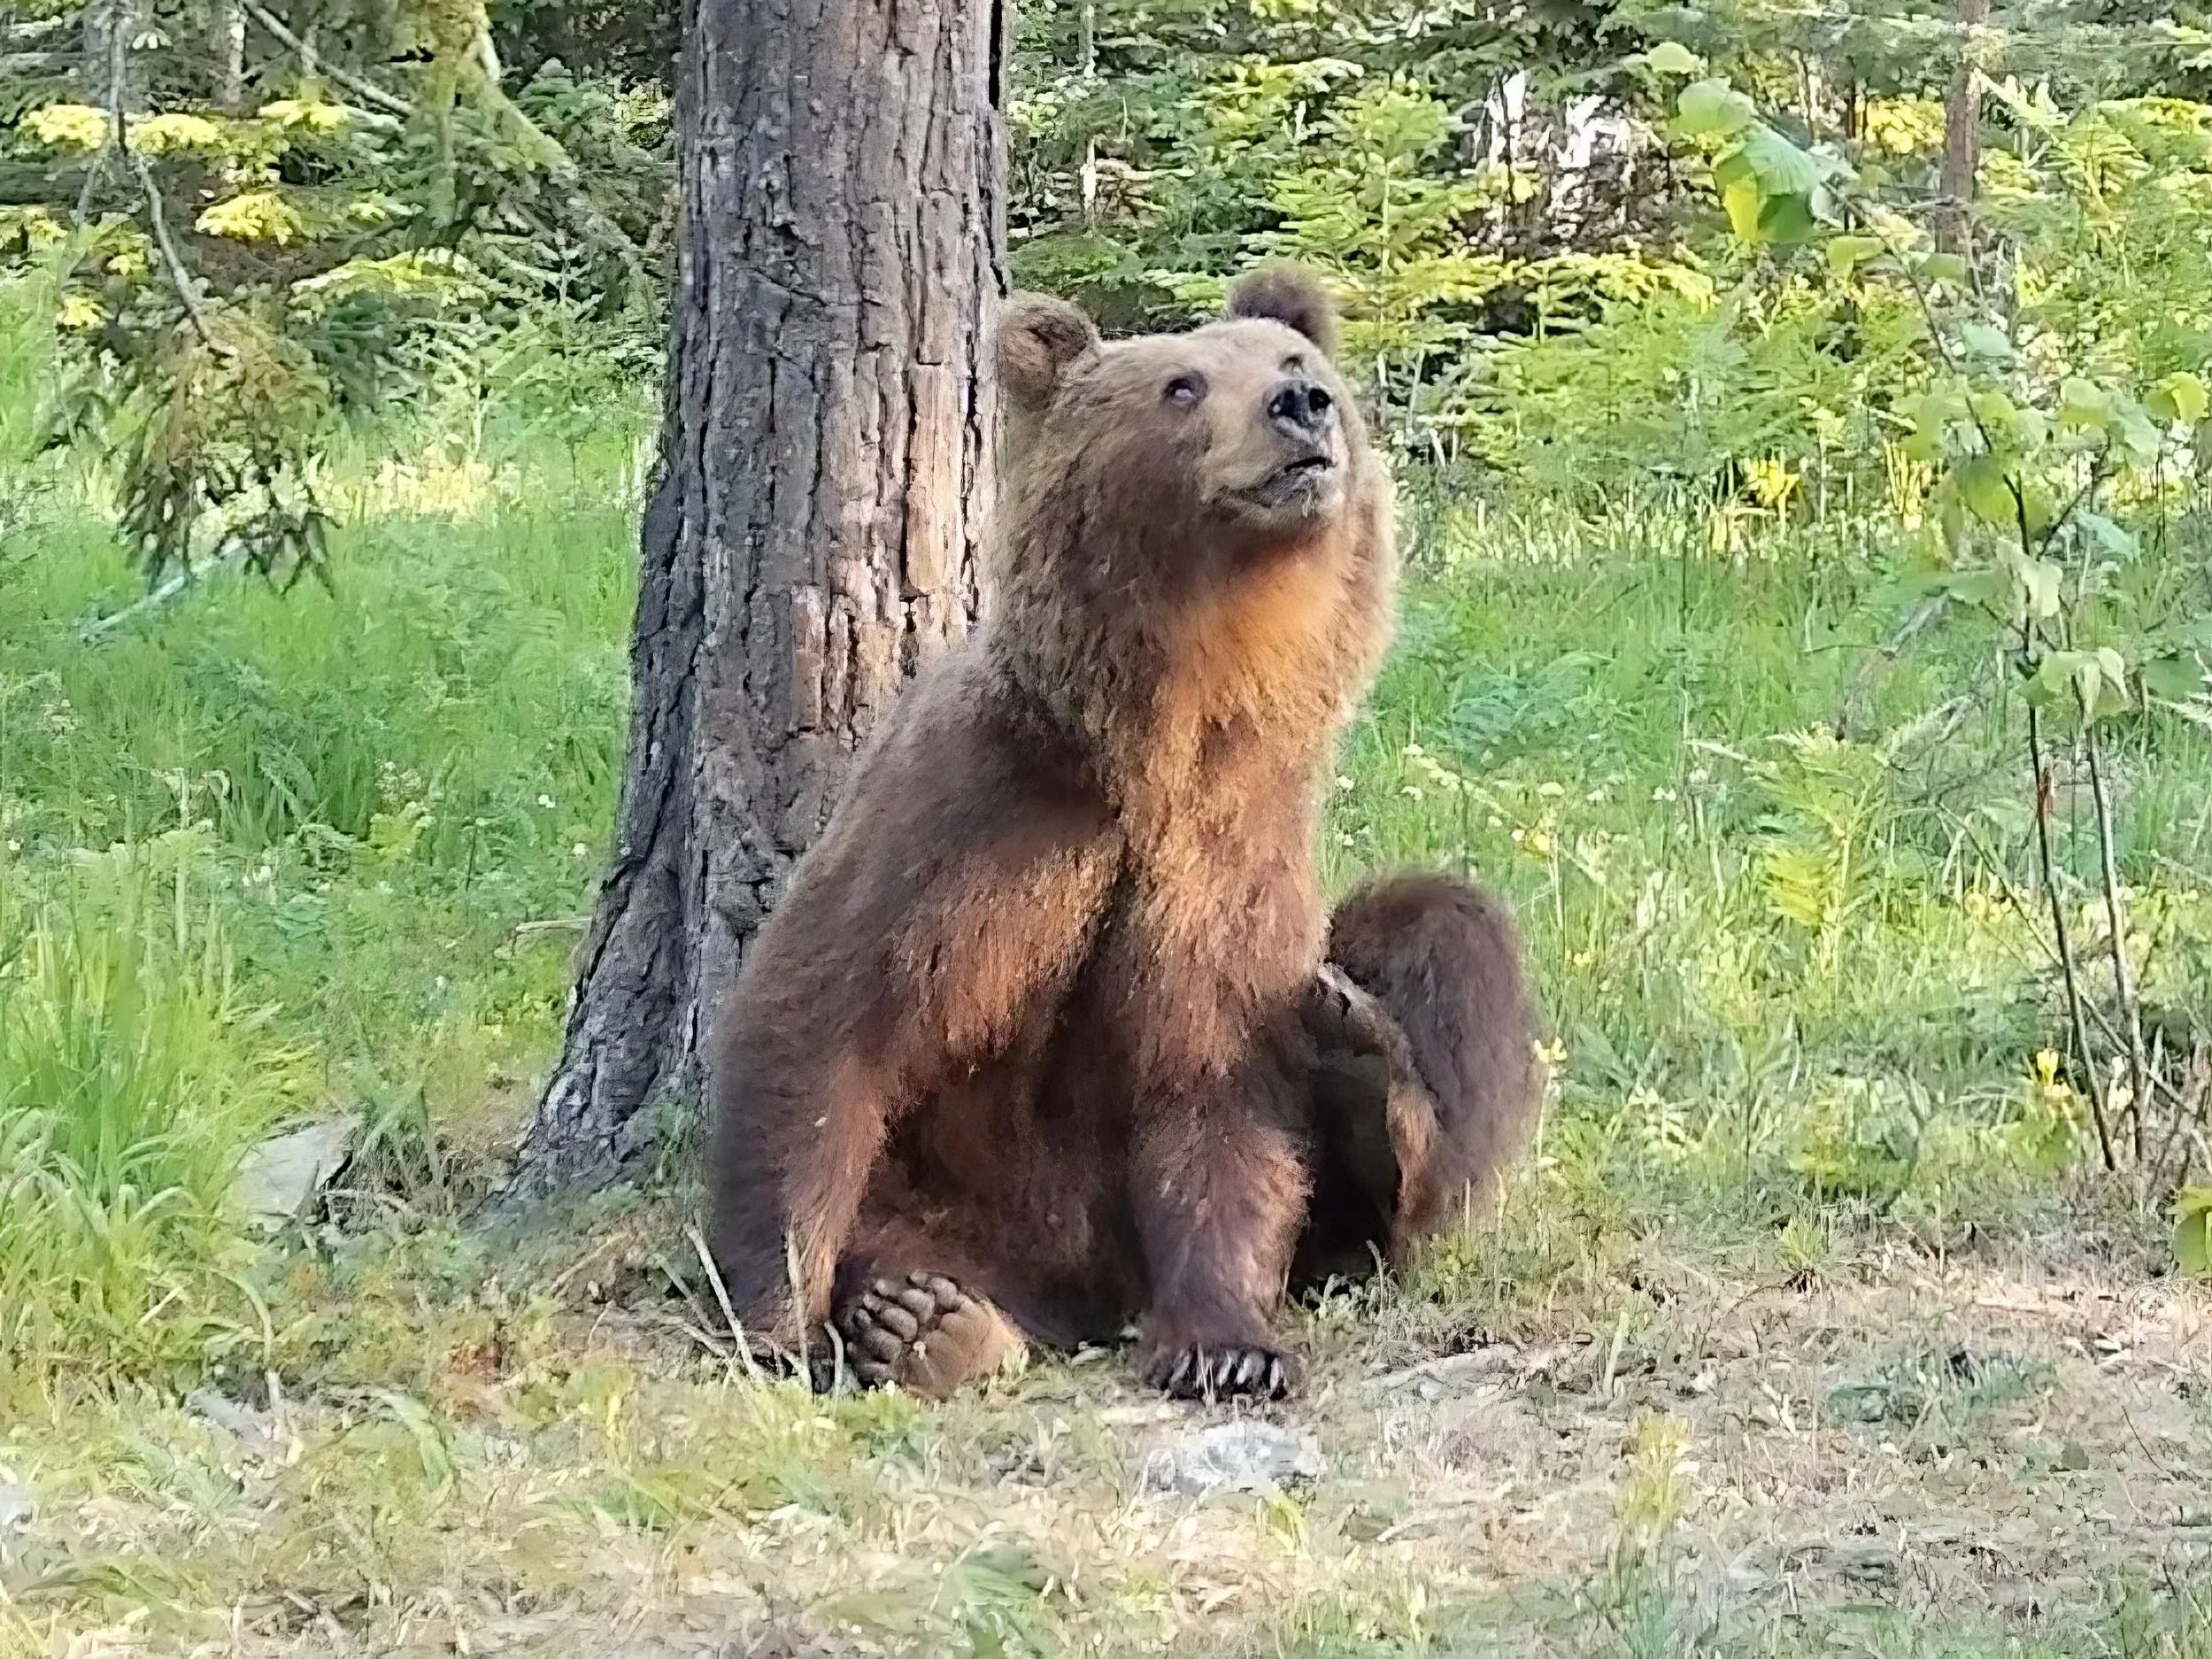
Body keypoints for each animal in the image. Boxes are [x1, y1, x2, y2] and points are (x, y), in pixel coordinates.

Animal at [707, 266, 1541, 1401]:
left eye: (1295, 361)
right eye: (1181, 385)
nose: (1303, 406)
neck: (1167, 731)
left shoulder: (1230, 853)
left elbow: (1211, 1086)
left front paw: (1227, 1345)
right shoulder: (981, 812)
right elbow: (824, 1021)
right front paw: (775, 1324)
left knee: (1437, 931)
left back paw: (1371, 1064)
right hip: (947, 1194)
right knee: (909, 1237)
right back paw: (926, 1321)